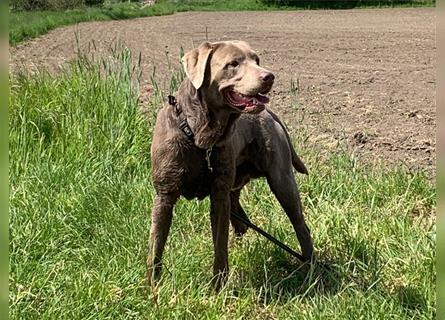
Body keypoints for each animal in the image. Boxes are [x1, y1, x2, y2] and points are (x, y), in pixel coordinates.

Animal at [147, 40, 312, 290]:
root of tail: (270, 114)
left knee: (300, 224)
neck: (199, 136)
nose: (269, 76)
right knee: (241, 216)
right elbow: (156, 245)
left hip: (281, 179)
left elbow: (220, 244)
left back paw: (311, 268)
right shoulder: (164, 194)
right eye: (233, 64)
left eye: (257, 60)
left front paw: (217, 288)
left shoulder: (219, 195)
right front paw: (151, 287)